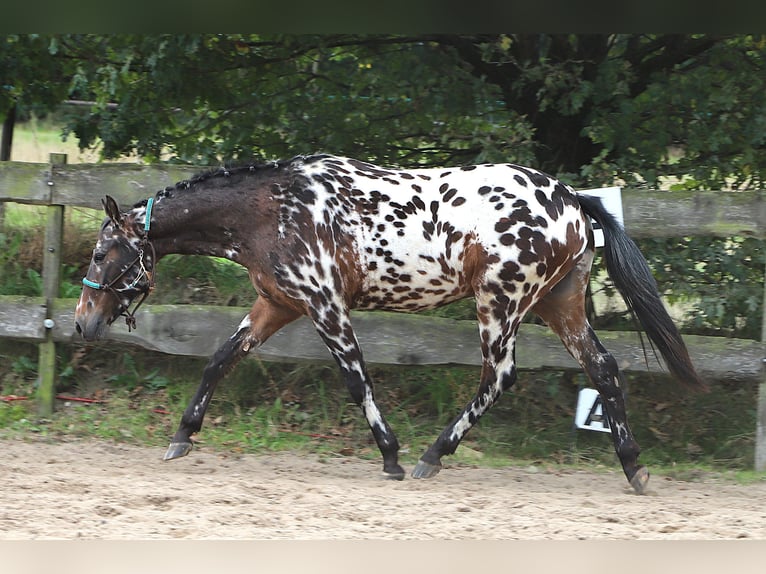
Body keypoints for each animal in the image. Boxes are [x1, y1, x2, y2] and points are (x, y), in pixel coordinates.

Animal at [74, 154, 704, 494]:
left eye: (103, 254)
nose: (81, 323)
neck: (271, 210)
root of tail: (571, 199)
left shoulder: (325, 306)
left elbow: (357, 382)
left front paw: (392, 456)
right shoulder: (277, 305)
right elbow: (220, 359)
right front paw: (181, 437)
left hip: (501, 304)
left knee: (499, 376)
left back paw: (432, 456)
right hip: (559, 306)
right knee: (604, 367)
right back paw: (634, 468)